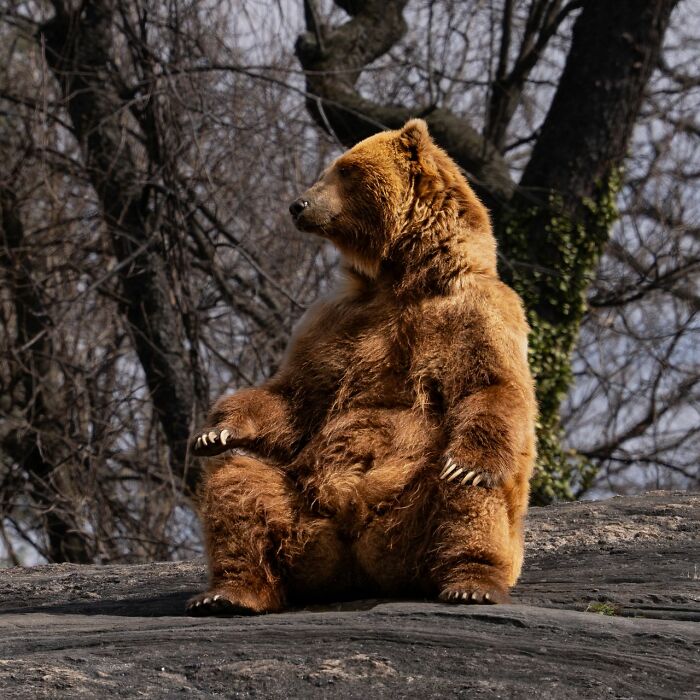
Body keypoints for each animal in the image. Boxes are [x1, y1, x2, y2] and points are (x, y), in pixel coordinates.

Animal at [186, 119, 537, 615]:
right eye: (330, 170)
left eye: (346, 171)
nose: (298, 204)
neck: (399, 278)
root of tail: (357, 565)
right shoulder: (334, 323)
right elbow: (296, 398)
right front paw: (214, 431)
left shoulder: (475, 313)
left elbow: (488, 386)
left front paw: (470, 465)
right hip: (302, 516)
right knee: (238, 479)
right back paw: (229, 591)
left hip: (412, 521)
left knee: (465, 488)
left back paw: (470, 580)